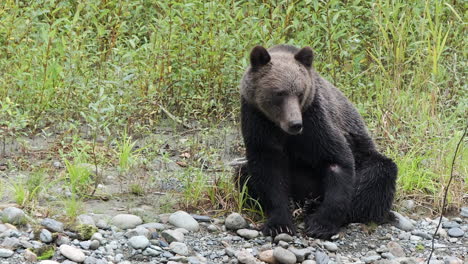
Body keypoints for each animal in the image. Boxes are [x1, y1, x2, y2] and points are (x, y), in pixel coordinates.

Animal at [239, 44, 396, 238]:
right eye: (279, 94)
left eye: (300, 93)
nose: (295, 124)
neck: (281, 129)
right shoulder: (257, 120)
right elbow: (268, 170)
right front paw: (279, 224)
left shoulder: (315, 121)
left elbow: (336, 160)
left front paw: (320, 224)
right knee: (242, 173)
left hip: (364, 155)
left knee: (377, 174)